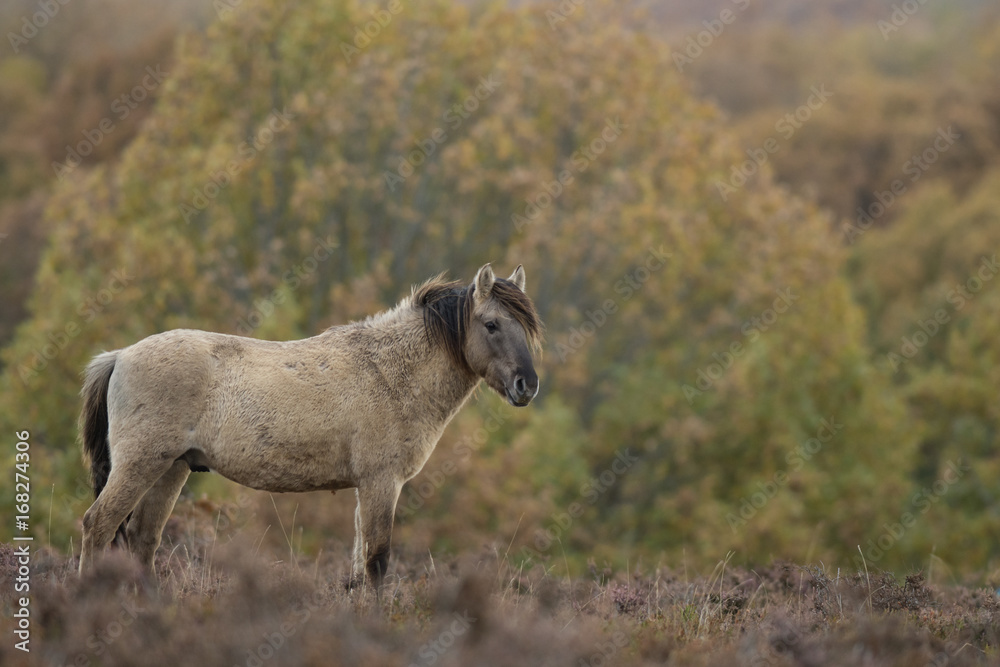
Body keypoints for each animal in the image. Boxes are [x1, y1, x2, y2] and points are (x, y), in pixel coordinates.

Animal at [78, 263, 543, 589]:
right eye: (491, 324)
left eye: (527, 327)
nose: (528, 385)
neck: (389, 372)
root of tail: (120, 356)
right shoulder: (382, 482)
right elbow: (376, 561)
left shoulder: (366, 487)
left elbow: (359, 568)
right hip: (140, 465)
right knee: (98, 525)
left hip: (171, 469)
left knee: (142, 539)